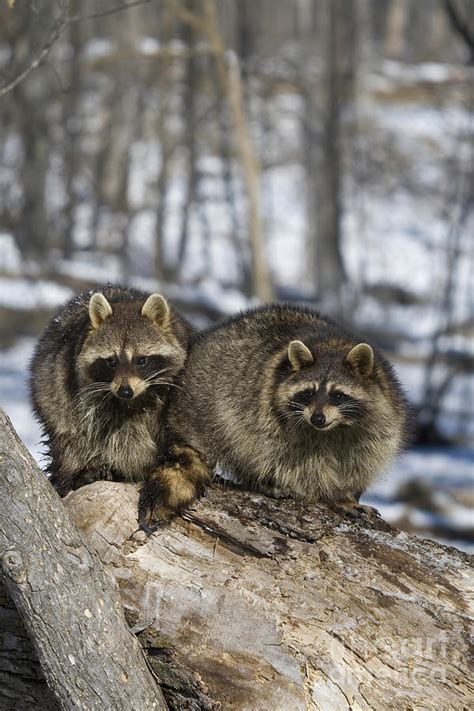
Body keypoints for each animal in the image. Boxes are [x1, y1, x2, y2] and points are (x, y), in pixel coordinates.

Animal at [30, 286, 191, 498]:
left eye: (141, 360)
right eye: (112, 361)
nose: (125, 391)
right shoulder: (89, 398)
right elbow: (120, 438)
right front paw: (138, 465)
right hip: (50, 395)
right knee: (70, 441)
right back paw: (74, 475)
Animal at [139, 304, 410, 524]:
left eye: (338, 395)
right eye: (309, 393)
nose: (317, 418)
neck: (335, 429)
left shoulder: (382, 416)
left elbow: (366, 457)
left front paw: (350, 492)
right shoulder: (279, 424)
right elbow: (300, 465)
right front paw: (334, 496)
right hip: (215, 409)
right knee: (248, 447)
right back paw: (262, 482)